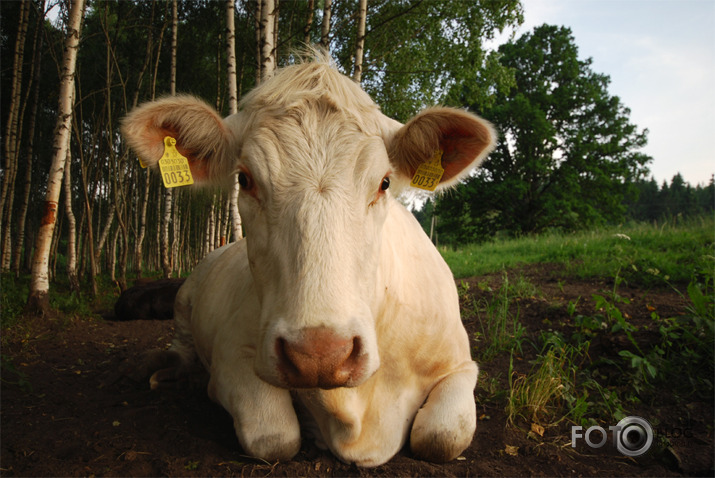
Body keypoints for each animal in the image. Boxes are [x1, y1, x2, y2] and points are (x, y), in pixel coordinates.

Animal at [120, 52, 496, 466]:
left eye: (383, 183)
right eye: (245, 179)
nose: (320, 354)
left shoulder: (460, 363)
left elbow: (442, 436)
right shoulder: (232, 355)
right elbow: (273, 436)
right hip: (185, 301)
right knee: (181, 348)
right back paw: (163, 371)